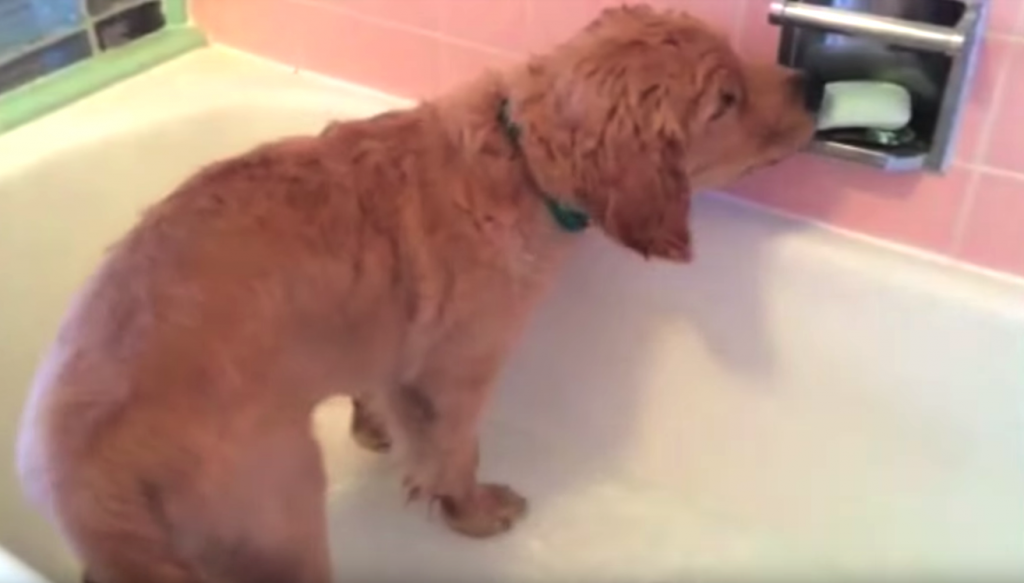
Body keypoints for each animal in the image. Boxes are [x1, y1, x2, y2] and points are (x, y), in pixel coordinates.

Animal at [16, 5, 819, 581]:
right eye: (725, 100)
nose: (812, 83)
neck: (517, 159)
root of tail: (90, 479)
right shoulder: (459, 368)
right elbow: (453, 451)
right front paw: (474, 510)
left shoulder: (393, 348)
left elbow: (386, 399)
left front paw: (375, 430)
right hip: (280, 513)